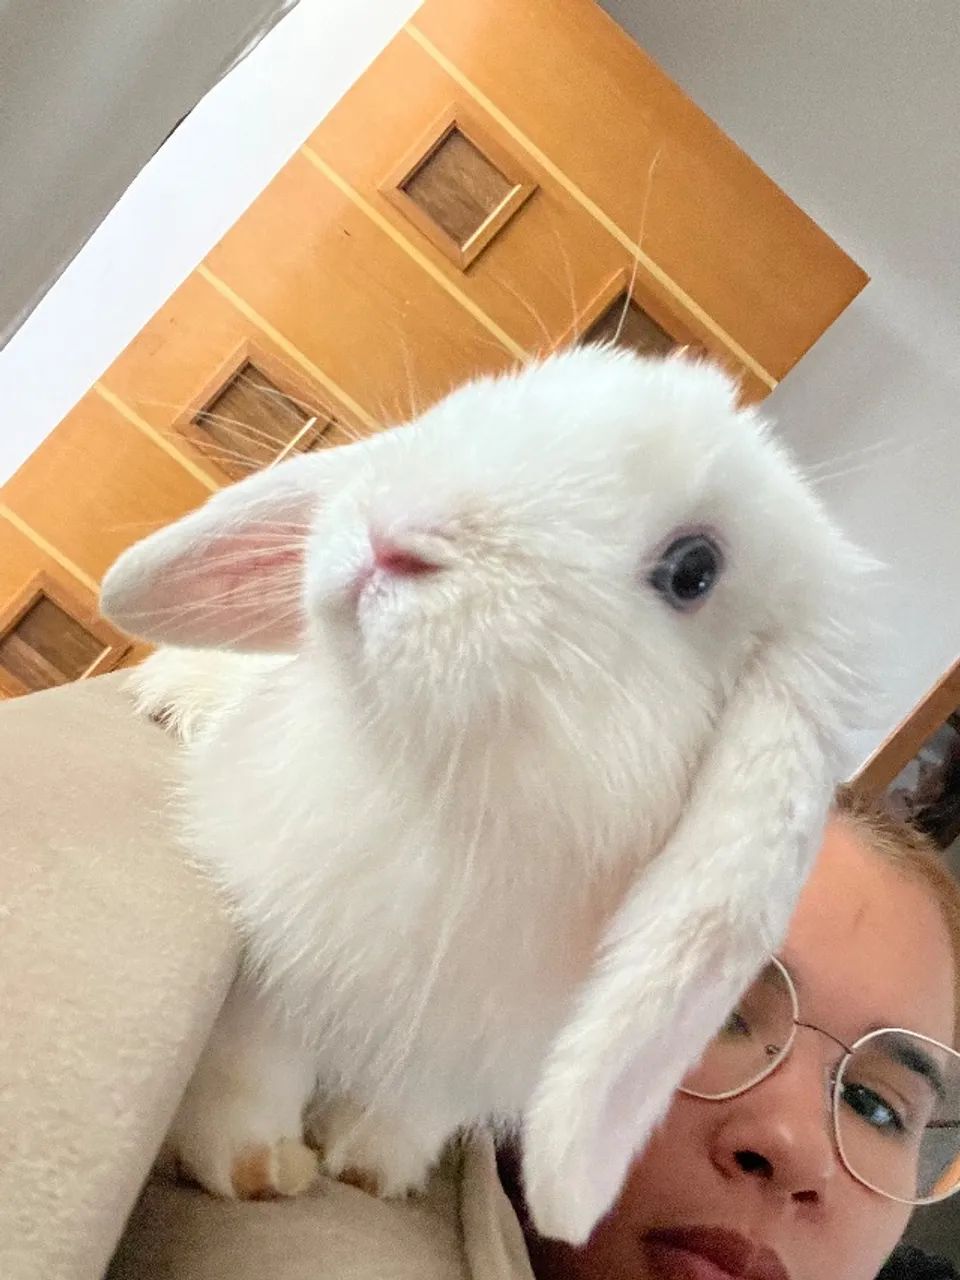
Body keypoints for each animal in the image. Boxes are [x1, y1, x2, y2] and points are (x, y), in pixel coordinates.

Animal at [100, 345, 873, 1245]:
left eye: (693, 571)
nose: (392, 537)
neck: (457, 807)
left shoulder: (468, 1053)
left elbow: (413, 1108)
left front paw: (369, 1169)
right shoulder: (273, 956)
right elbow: (254, 1063)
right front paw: (257, 1166)